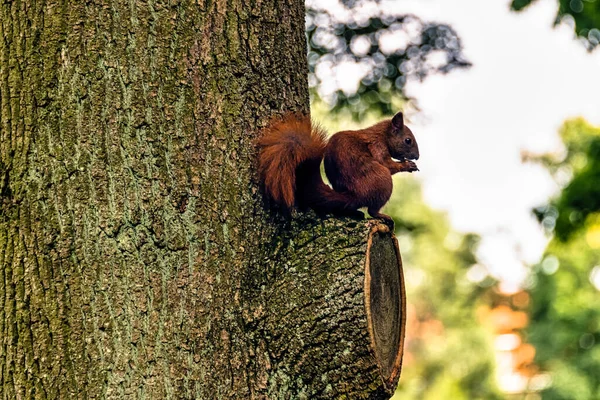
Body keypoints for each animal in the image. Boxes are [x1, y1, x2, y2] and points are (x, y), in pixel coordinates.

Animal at [255, 111, 420, 225]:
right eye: (408, 140)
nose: (417, 156)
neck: (382, 135)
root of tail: (354, 194)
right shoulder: (377, 146)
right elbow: (386, 164)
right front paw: (407, 165)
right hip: (383, 180)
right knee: (372, 210)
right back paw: (381, 215)